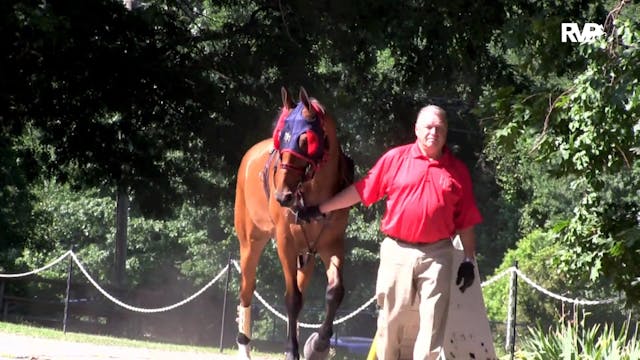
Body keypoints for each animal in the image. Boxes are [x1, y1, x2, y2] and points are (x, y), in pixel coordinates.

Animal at [234, 87, 356, 360]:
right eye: (281, 137)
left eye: (305, 140)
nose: (283, 196)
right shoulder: (285, 243)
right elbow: (292, 299)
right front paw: (292, 350)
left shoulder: (331, 244)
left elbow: (335, 291)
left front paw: (319, 344)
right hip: (250, 242)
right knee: (247, 289)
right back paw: (244, 346)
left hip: (307, 253)